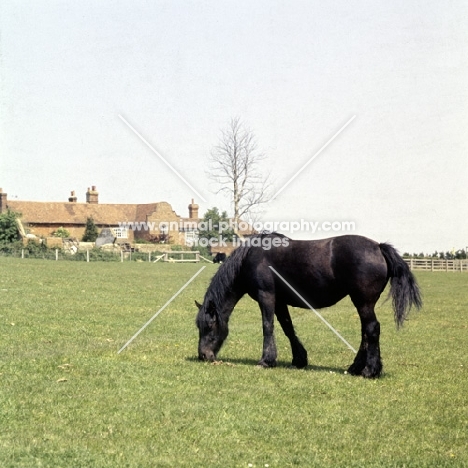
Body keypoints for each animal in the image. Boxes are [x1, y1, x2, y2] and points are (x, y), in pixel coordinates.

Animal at [196, 232, 422, 378]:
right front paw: (299, 359)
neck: (253, 256)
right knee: (365, 332)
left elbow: (268, 326)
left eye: (209, 326)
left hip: (363, 302)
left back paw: (369, 370)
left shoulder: (266, 296)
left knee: (372, 329)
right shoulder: (280, 301)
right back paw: (356, 367)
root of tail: (378, 247)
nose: (203, 355)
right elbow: (287, 328)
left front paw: (266, 360)